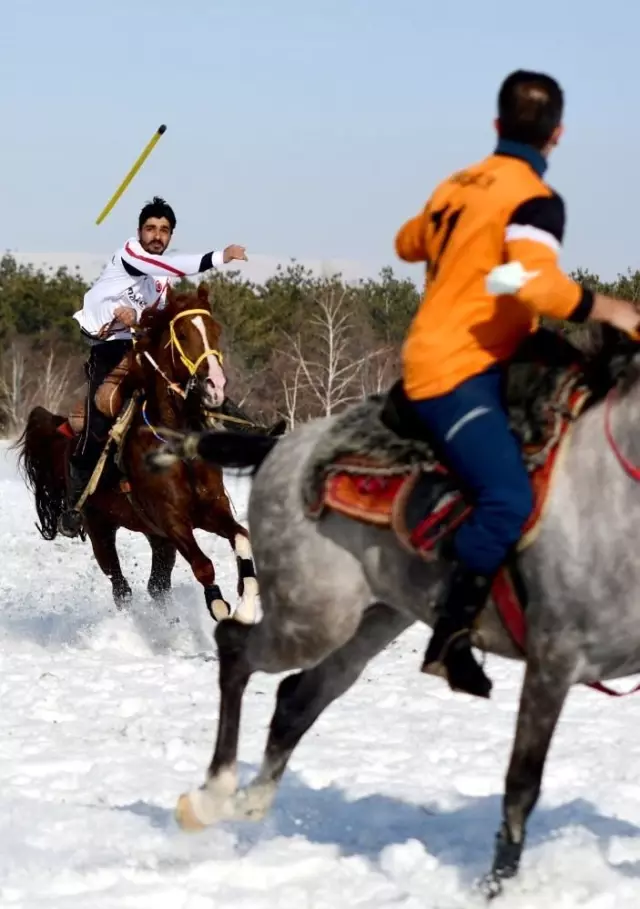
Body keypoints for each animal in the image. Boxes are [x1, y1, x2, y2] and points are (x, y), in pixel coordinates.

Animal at [15, 284, 260, 624]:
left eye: (216, 330)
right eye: (182, 334)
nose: (216, 385)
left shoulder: (211, 510)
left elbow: (242, 538)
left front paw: (246, 607)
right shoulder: (172, 520)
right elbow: (204, 566)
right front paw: (221, 609)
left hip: (157, 539)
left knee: (157, 586)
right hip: (101, 530)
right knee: (121, 588)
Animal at [156, 338, 640, 892]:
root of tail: (279, 449)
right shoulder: (553, 660)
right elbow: (522, 782)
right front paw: (494, 887)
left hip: (375, 618)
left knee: (297, 699)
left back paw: (250, 802)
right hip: (314, 617)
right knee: (236, 648)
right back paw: (212, 794)